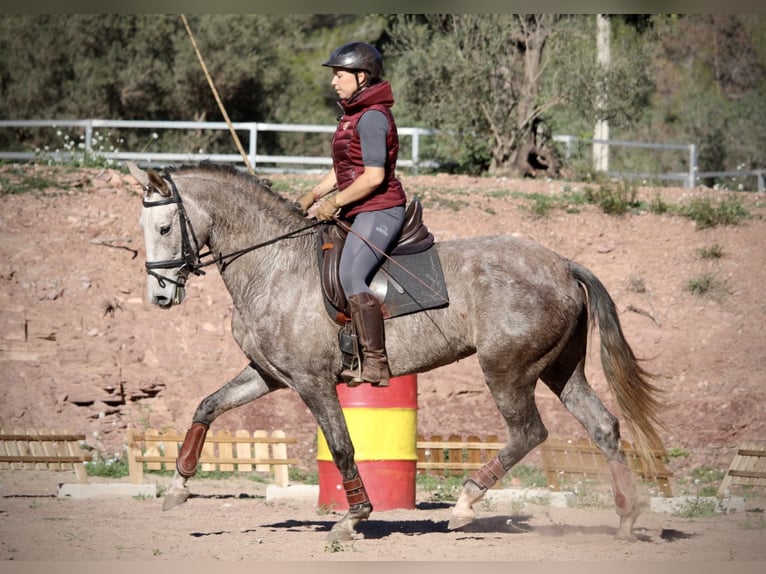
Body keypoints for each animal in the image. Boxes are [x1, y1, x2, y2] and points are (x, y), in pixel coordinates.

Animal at [129, 163, 664, 544]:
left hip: (506, 369)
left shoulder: (312, 382)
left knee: (529, 432)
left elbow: (342, 445)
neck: (273, 263)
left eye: (164, 228)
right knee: (602, 427)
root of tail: (564, 265)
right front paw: (177, 487)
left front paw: (354, 518)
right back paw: (625, 520)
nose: (159, 295)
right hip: (560, 369)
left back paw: (465, 505)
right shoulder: (268, 374)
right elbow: (208, 406)